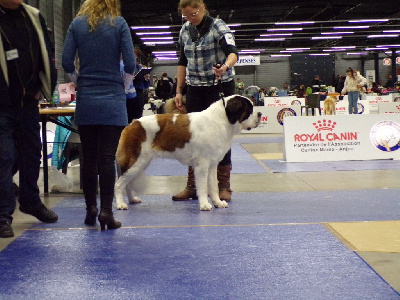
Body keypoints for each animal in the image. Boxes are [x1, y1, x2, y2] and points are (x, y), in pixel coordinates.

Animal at [114, 95, 260, 210]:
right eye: (249, 110)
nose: (260, 114)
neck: (222, 120)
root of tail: (132, 124)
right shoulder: (202, 165)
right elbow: (203, 186)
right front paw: (205, 205)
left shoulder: (212, 165)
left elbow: (213, 186)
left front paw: (218, 203)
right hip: (136, 161)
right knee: (119, 184)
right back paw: (121, 204)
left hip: (141, 163)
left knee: (127, 183)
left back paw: (132, 199)